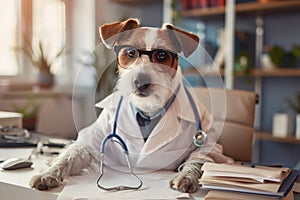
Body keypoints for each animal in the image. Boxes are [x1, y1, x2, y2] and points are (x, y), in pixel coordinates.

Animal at [29, 18, 232, 194]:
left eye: (162, 55)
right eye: (130, 53)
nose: (140, 82)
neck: (147, 110)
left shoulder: (209, 145)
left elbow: (199, 160)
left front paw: (186, 177)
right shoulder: (94, 140)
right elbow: (70, 154)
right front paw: (48, 174)